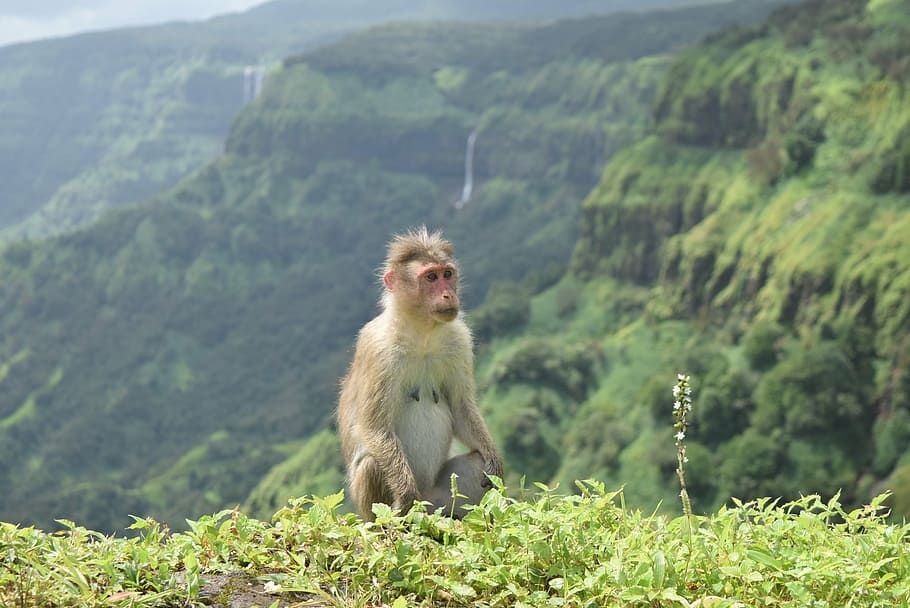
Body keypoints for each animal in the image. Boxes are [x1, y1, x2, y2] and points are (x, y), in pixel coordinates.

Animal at [337, 226, 503, 521]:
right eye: (430, 277)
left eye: (447, 274)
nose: (448, 294)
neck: (422, 334)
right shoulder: (378, 350)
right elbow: (374, 427)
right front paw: (405, 495)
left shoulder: (459, 340)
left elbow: (461, 408)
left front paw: (494, 462)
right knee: (372, 463)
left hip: (443, 500)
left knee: (474, 464)